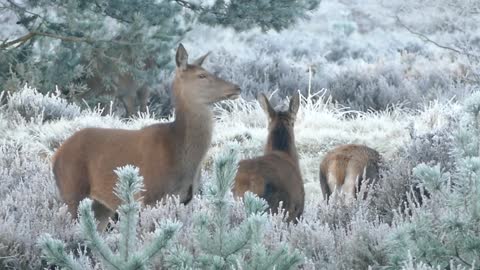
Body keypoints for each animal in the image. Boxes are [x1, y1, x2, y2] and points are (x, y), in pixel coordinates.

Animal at [53, 44, 242, 230]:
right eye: (202, 75)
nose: (237, 87)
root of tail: (56, 155)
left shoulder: (184, 199)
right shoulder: (148, 196)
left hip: (101, 205)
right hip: (72, 190)